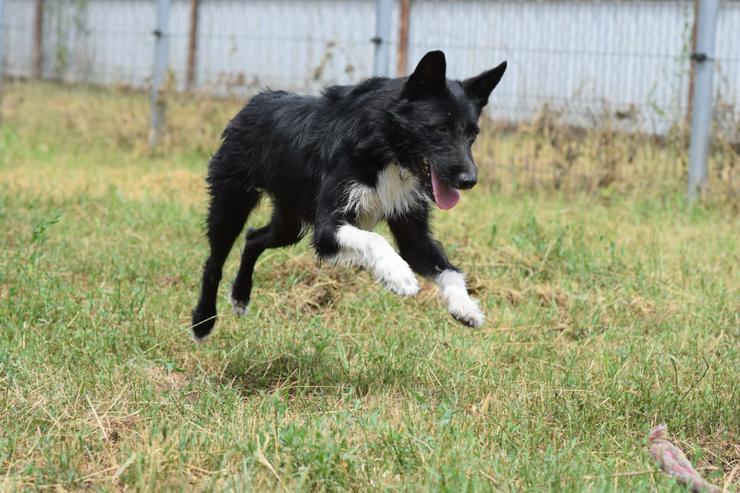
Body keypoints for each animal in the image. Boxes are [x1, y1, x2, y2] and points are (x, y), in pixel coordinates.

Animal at [189, 52, 508, 340]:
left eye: (472, 134)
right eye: (441, 128)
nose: (469, 180)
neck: (386, 145)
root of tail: (254, 101)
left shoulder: (412, 235)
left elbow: (449, 269)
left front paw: (465, 306)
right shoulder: (327, 228)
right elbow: (375, 240)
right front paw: (398, 274)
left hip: (290, 223)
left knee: (253, 238)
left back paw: (240, 295)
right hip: (231, 202)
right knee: (214, 262)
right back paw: (203, 321)